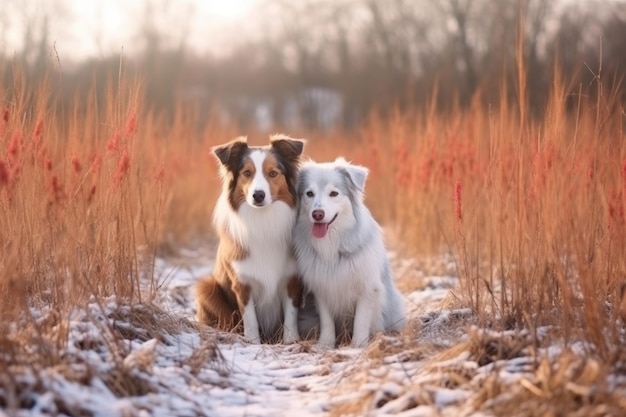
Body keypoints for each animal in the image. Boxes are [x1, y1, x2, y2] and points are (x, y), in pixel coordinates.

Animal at [194, 133, 304, 342]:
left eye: (273, 173)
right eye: (247, 173)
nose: (258, 195)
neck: (263, 222)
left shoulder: (292, 280)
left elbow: (291, 317)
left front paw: (291, 341)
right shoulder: (242, 284)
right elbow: (250, 320)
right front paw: (253, 342)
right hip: (206, 287)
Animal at [292, 158, 404, 346]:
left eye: (333, 193)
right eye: (309, 193)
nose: (317, 214)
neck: (332, 245)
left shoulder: (367, 289)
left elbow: (361, 320)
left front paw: (358, 345)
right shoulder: (321, 288)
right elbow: (327, 321)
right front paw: (325, 344)